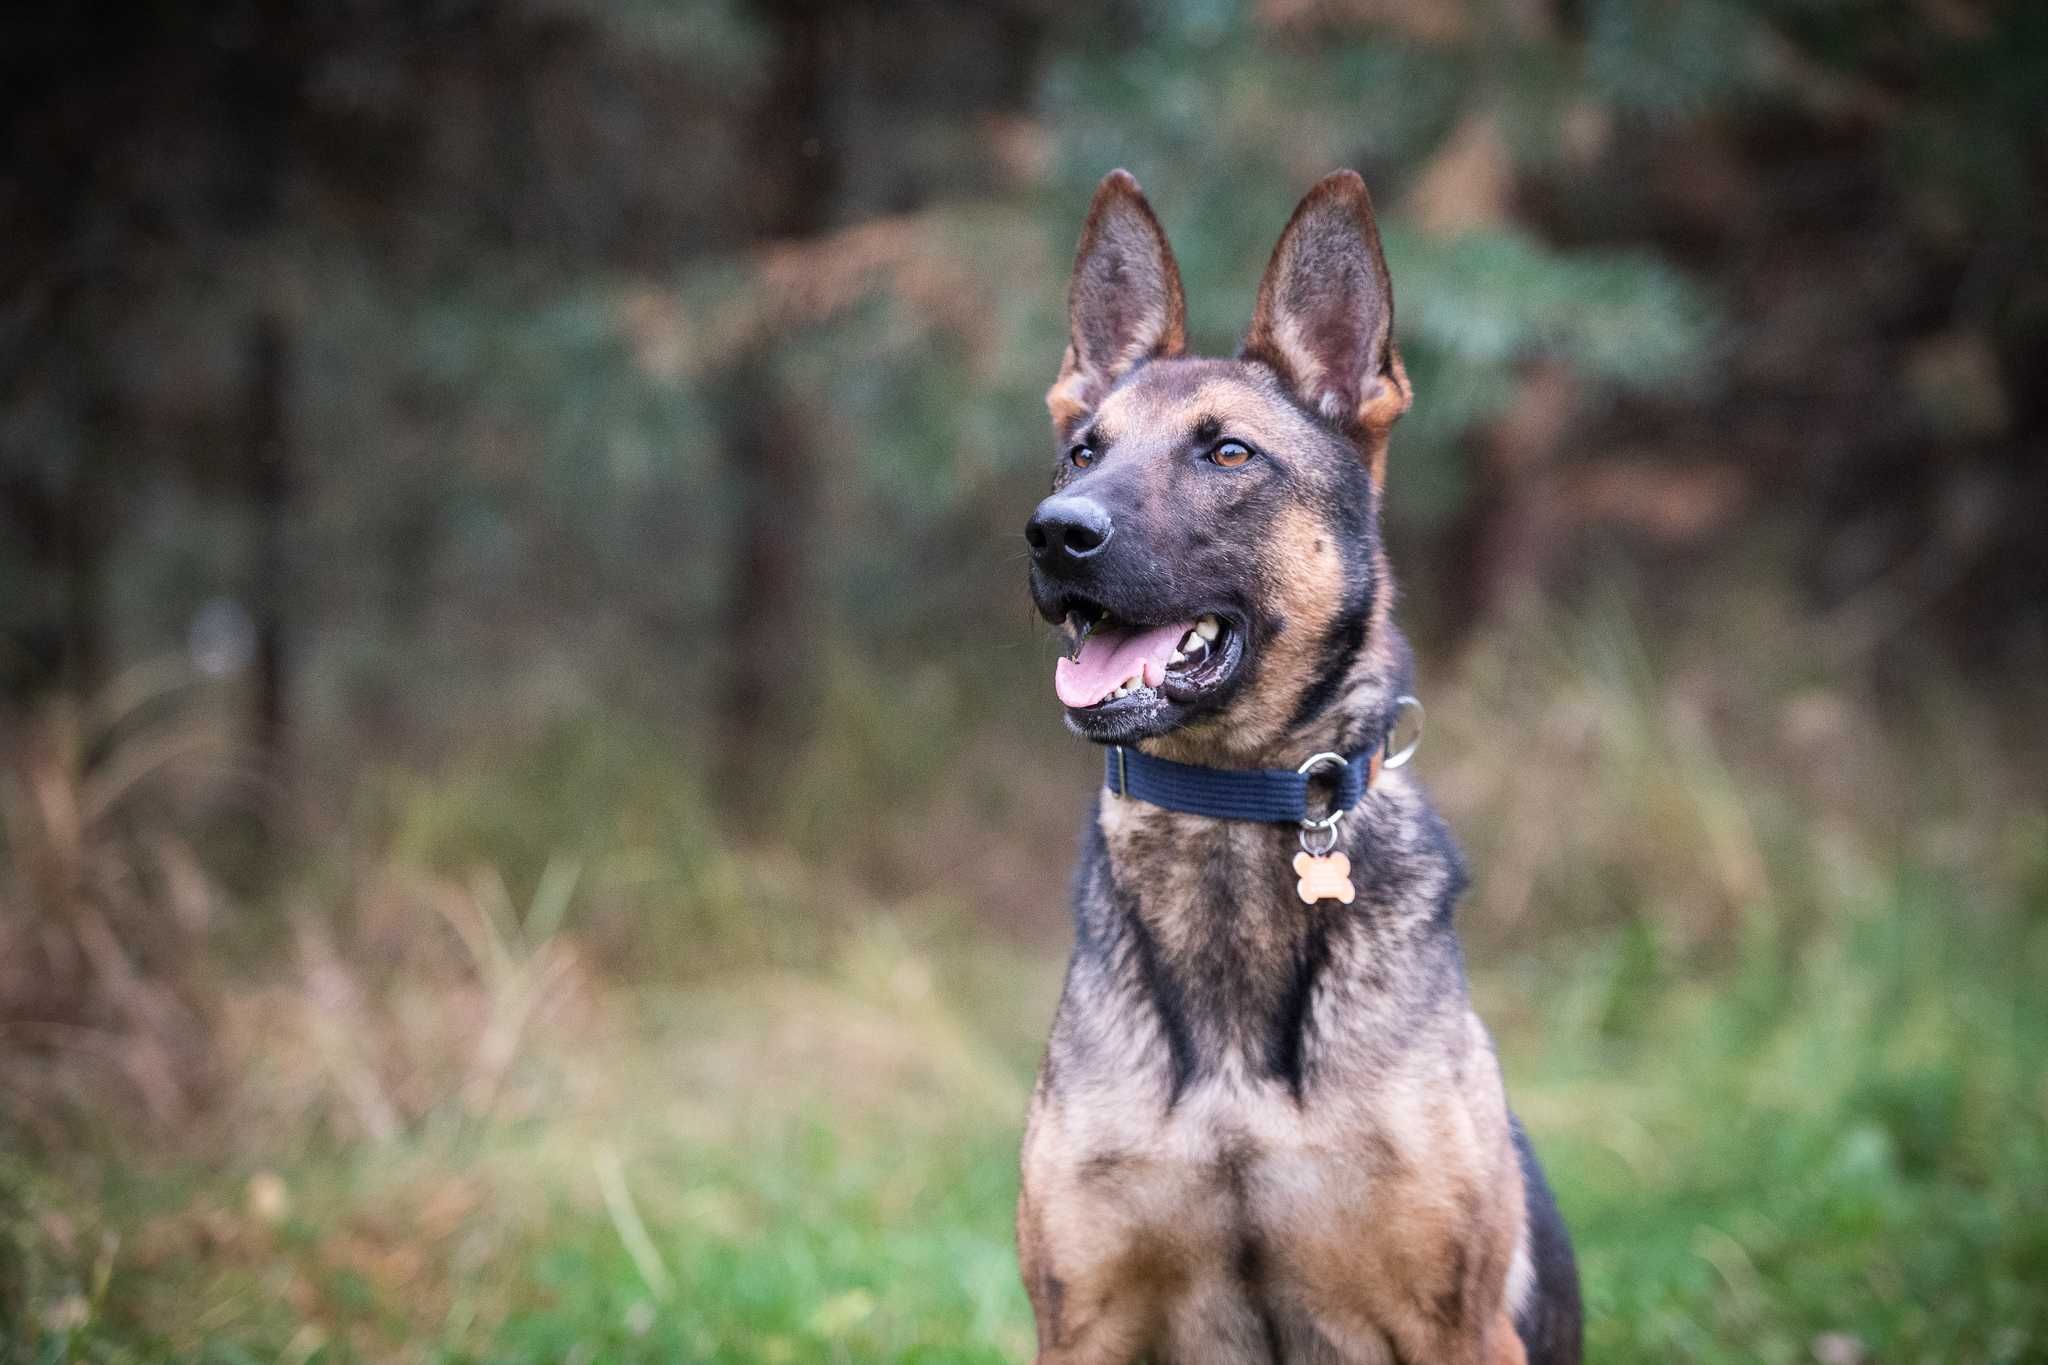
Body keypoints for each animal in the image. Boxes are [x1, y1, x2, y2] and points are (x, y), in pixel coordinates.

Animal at [1019, 173, 1581, 1365]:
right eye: (1083, 452)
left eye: (1228, 454)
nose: (1051, 532)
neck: (1224, 810)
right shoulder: (1080, 1320)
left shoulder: (1457, 1328)